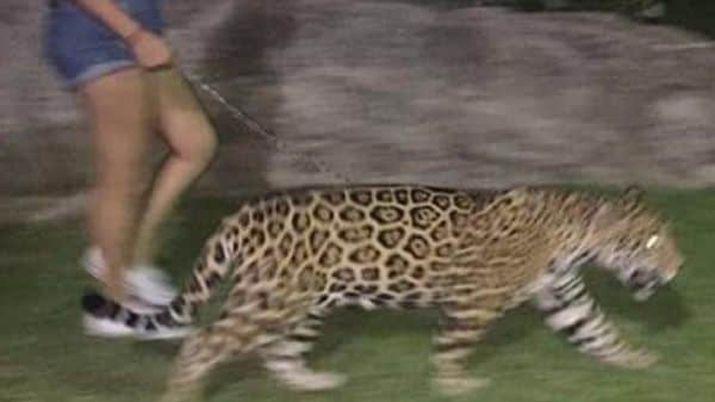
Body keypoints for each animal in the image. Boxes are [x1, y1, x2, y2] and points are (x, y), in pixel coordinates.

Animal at [82, 184, 683, 402]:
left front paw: (642, 362)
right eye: (650, 241)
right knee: (203, 342)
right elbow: (452, 348)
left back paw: (313, 381)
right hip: (272, 298)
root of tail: (244, 213)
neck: (573, 235)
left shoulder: (564, 299)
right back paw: (181, 393)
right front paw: (456, 385)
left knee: (277, 350)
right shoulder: (474, 302)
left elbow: (598, 333)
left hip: (304, 302)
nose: (678, 268)